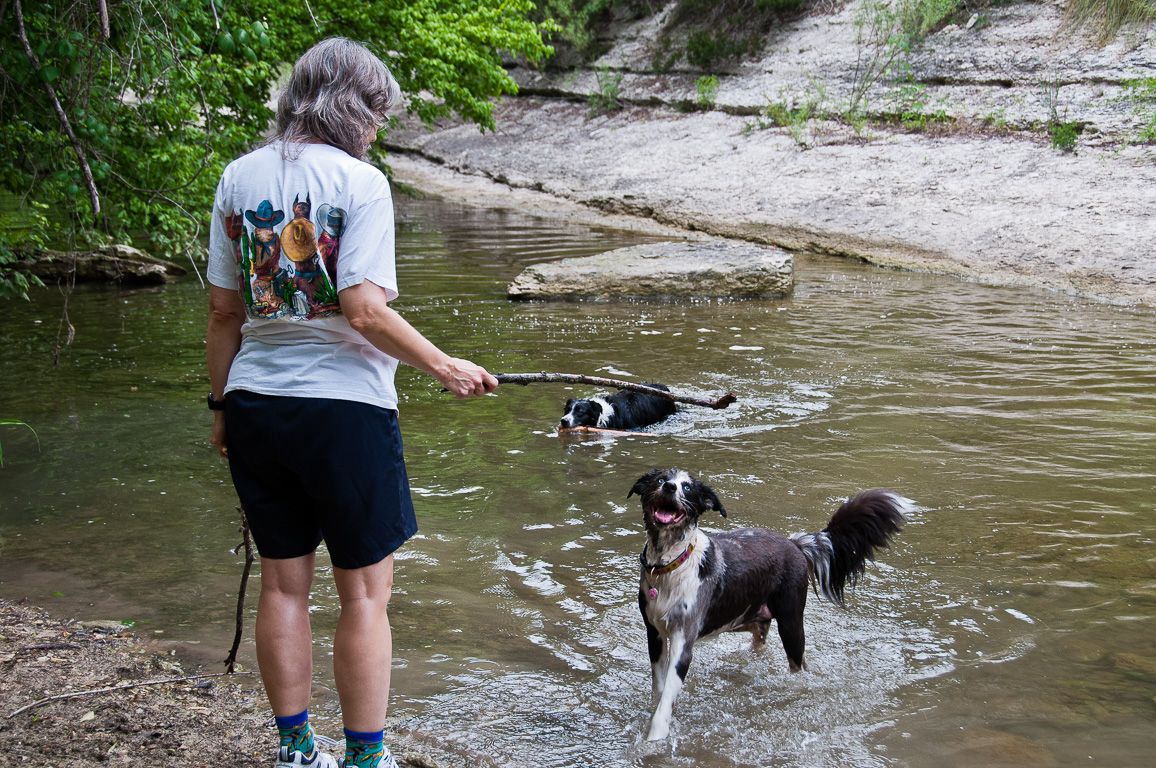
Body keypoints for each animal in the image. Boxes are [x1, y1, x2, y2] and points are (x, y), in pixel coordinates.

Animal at [628, 464, 906, 740]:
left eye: (687, 487)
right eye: (660, 479)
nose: (670, 487)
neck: (670, 565)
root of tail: (794, 544)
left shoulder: (683, 642)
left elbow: (666, 701)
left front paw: (654, 739)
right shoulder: (654, 634)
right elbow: (659, 688)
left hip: (791, 624)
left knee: (799, 665)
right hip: (746, 617)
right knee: (760, 639)